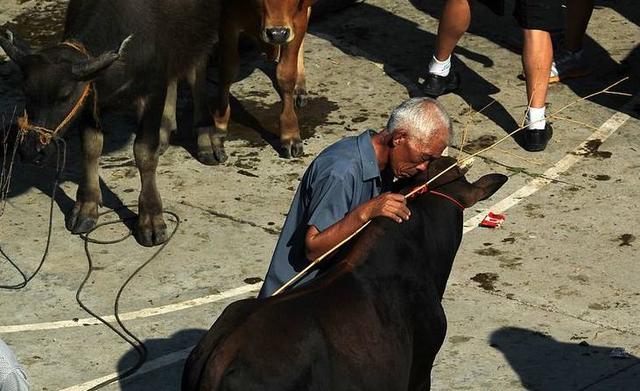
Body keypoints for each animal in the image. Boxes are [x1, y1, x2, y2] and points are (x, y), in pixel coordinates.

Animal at [0, 0, 222, 247]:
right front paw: (86, 207)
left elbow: (144, 152)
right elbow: (91, 147)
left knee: (197, 67)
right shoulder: (90, 99)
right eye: (26, 92)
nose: (30, 151)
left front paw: (151, 218)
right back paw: (165, 129)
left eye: (64, 96)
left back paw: (206, 137)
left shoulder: (152, 91)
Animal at [212, 0, 316, 162]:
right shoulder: (228, 18)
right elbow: (227, 71)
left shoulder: (298, 20)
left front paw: (290, 134)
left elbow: (286, 75)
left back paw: (299, 87)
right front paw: (220, 128)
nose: (277, 34)